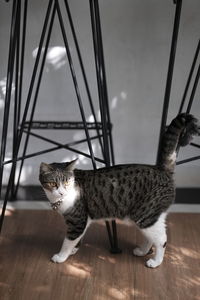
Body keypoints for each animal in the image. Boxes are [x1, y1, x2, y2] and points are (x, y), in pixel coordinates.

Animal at [39, 113, 200, 268]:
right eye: (53, 183)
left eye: (66, 182)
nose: (61, 192)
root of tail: (161, 169)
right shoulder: (82, 220)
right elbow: (77, 239)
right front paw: (74, 249)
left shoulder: (77, 221)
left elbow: (68, 241)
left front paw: (61, 256)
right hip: (151, 217)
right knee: (152, 237)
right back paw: (142, 251)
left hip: (145, 215)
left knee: (162, 240)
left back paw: (155, 262)